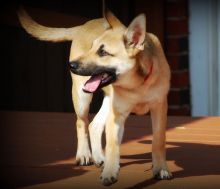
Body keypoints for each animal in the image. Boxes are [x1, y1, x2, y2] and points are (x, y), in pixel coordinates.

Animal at [17, 8, 172, 186]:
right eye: (92, 47)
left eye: (103, 52)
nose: (71, 65)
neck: (137, 84)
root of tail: (83, 25)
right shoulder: (116, 116)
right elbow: (112, 145)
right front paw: (110, 172)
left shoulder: (159, 108)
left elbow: (158, 140)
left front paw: (161, 169)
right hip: (82, 98)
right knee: (82, 123)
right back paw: (84, 154)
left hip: (108, 102)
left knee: (94, 125)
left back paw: (99, 157)